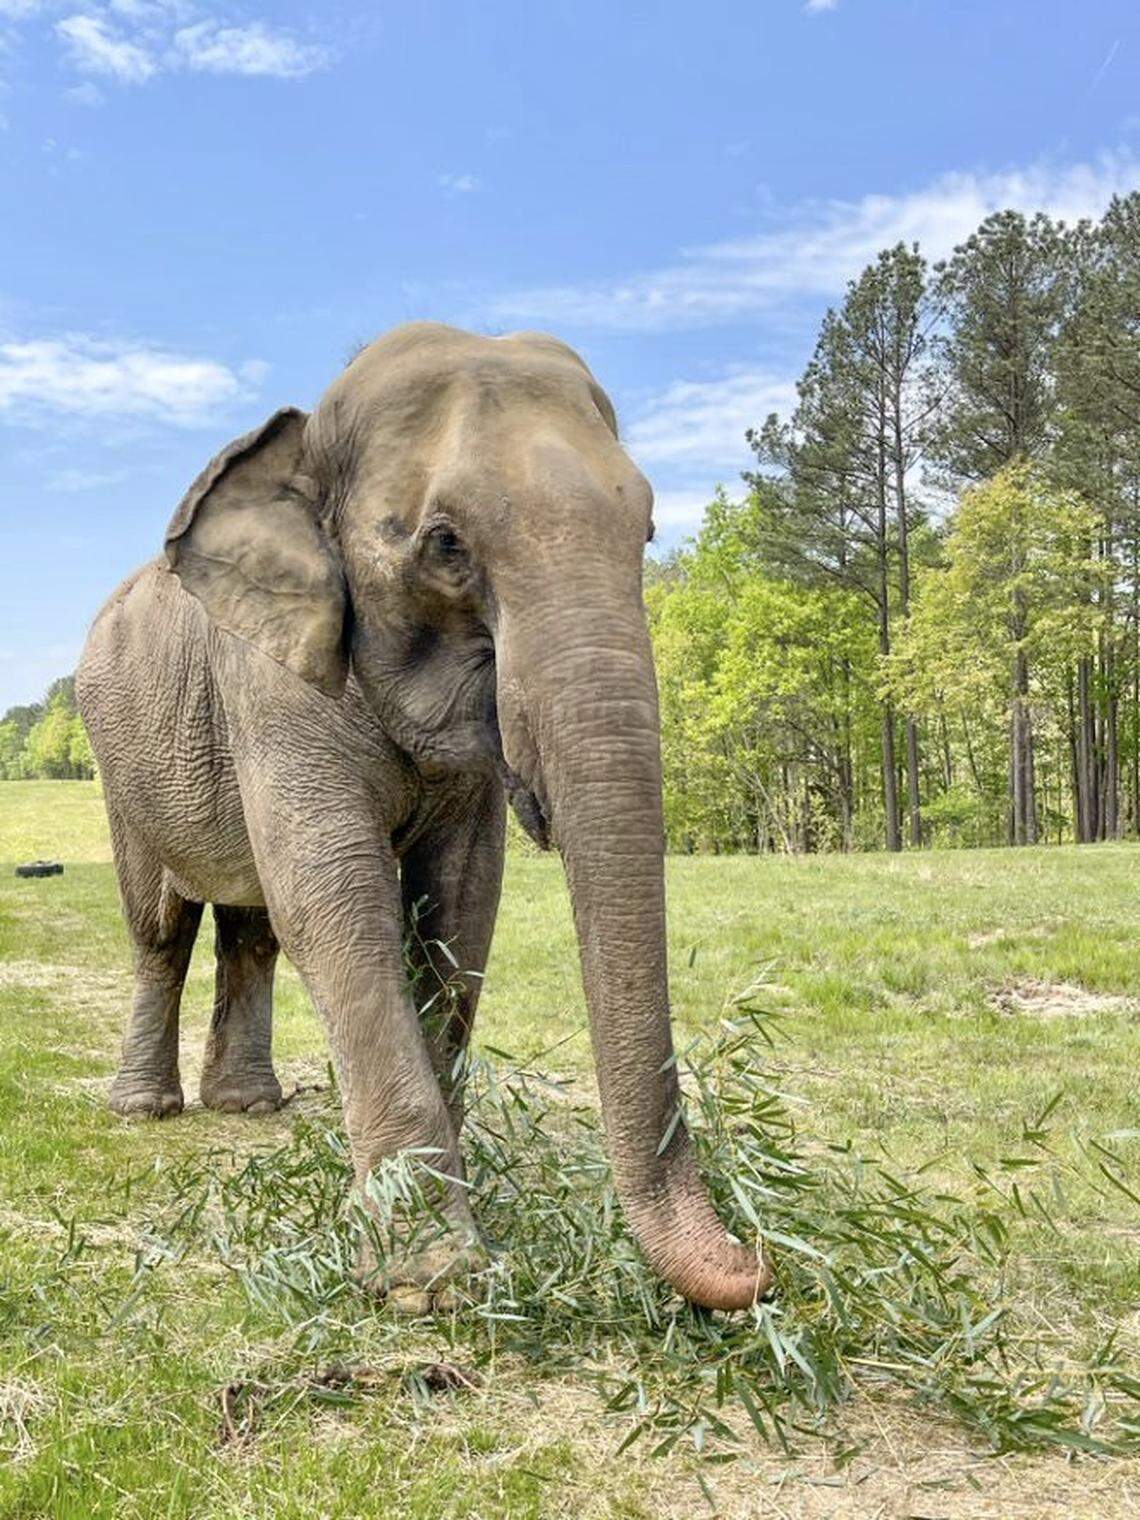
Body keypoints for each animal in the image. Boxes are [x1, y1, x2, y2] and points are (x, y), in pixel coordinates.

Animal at [76, 322, 771, 1312]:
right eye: (445, 545)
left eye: (644, 528)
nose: (756, 1264)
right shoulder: (270, 678)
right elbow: (336, 900)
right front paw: (431, 1278)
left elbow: (459, 906)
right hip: (116, 761)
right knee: (161, 926)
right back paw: (145, 1108)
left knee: (251, 928)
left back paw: (248, 1105)